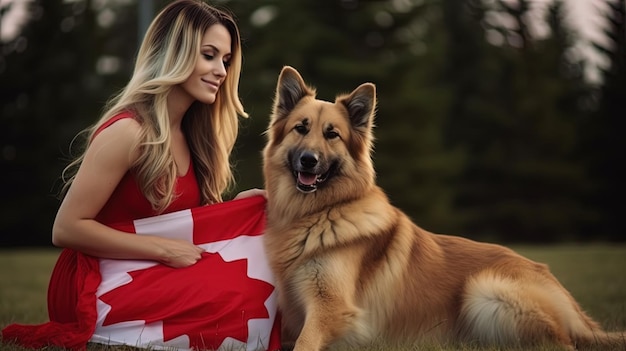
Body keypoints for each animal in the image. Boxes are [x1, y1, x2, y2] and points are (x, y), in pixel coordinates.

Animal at [260, 66, 624, 351]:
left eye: (332, 134)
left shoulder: (332, 309)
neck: (315, 215)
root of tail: (577, 313)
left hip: (486, 290)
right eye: (301, 128)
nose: (309, 160)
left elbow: (306, 341)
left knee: (561, 344)